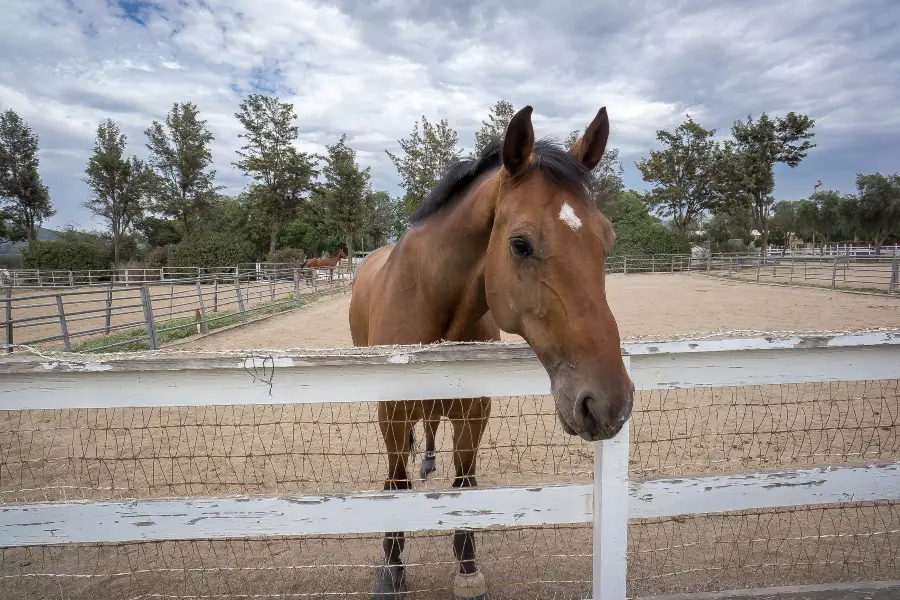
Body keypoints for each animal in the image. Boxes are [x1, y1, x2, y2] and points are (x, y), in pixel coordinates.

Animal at [348, 105, 636, 596]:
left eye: (608, 238)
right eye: (520, 244)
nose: (608, 402)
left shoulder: (473, 413)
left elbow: (465, 485)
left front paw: (467, 567)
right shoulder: (392, 413)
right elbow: (396, 483)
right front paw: (391, 565)